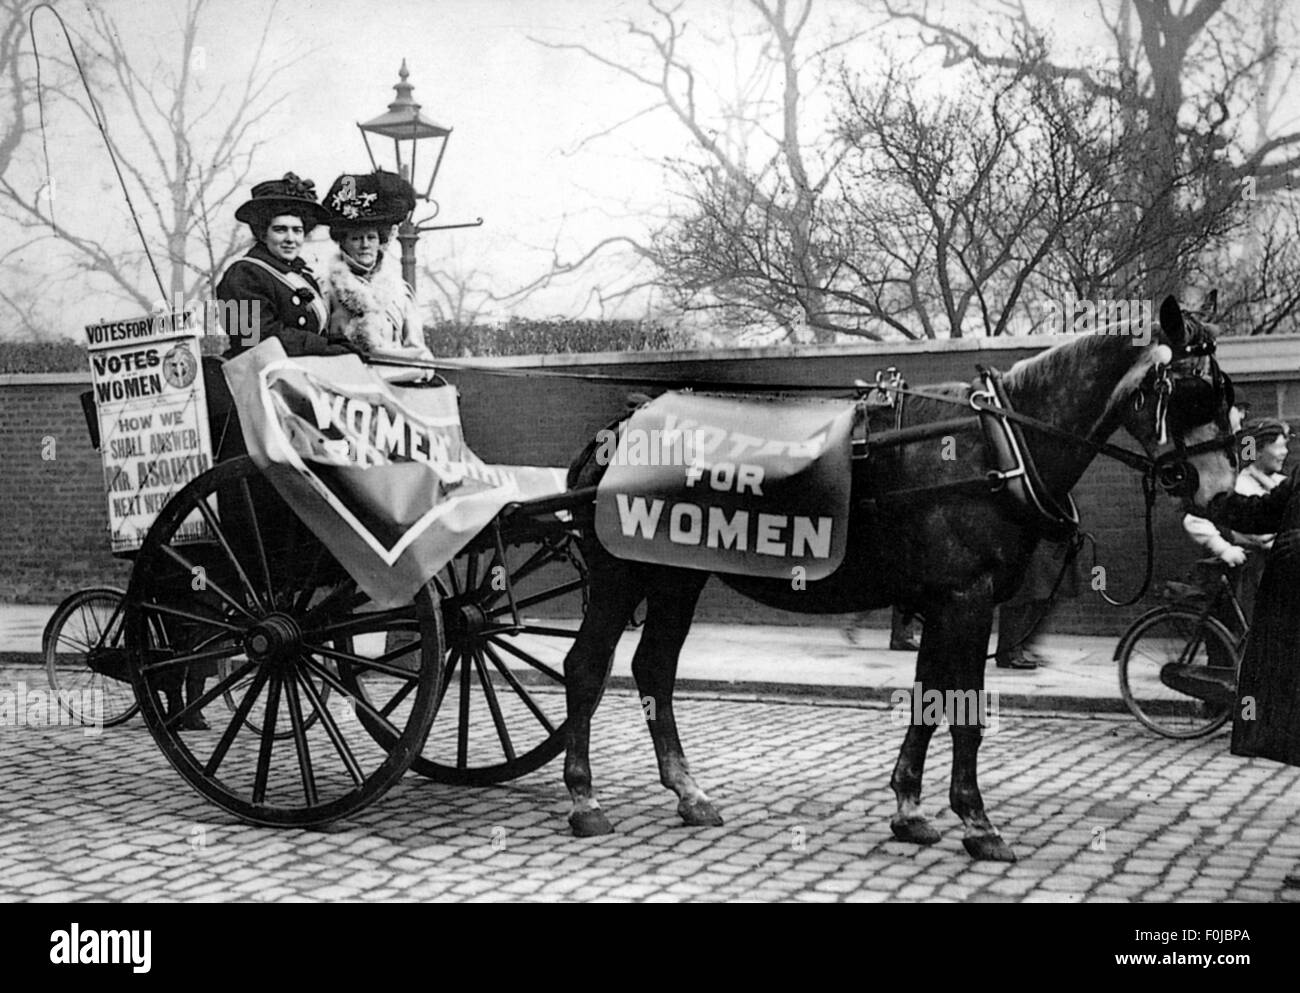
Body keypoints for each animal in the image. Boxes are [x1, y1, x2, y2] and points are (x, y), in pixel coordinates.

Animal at [556, 295, 1237, 863]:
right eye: (1194, 391)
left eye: (1226, 392)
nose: (1226, 495)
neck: (996, 446)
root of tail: (619, 431)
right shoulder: (967, 598)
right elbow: (963, 709)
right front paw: (978, 823)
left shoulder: (945, 600)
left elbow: (929, 698)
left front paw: (910, 809)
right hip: (623, 574)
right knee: (587, 666)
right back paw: (585, 798)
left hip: (677, 577)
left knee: (654, 669)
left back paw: (687, 791)